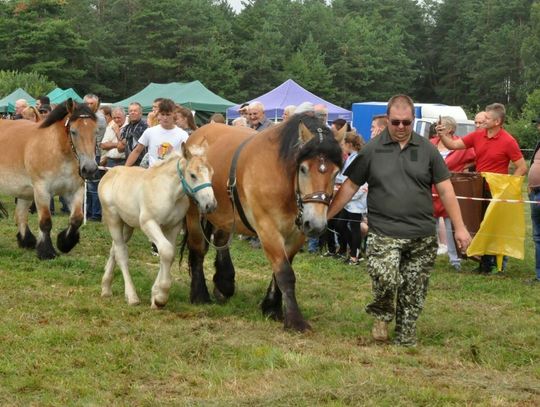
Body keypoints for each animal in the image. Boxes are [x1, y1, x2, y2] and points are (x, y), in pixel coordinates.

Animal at [0, 98, 97, 258]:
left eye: (96, 131)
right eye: (73, 132)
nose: (89, 169)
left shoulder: (75, 190)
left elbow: (76, 219)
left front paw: (64, 243)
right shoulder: (41, 190)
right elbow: (45, 221)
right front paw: (46, 251)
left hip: (24, 192)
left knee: (20, 215)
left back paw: (26, 241)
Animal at [98, 142, 216, 308]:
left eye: (211, 173)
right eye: (193, 175)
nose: (210, 205)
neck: (169, 192)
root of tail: (109, 173)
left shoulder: (173, 227)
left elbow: (169, 255)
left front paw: (155, 296)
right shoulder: (149, 223)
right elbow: (166, 251)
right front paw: (161, 298)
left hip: (127, 225)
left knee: (114, 249)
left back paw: (106, 288)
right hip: (113, 219)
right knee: (121, 252)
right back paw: (132, 296)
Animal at [185, 115, 346, 332]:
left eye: (336, 172)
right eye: (303, 169)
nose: (317, 225)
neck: (284, 178)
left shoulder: (297, 233)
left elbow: (282, 270)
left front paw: (272, 307)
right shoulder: (267, 229)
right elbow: (285, 272)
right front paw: (295, 319)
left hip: (225, 215)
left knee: (220, 241)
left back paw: (224, 284)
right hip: (195, 212)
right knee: (198, 249)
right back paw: (199, 294)